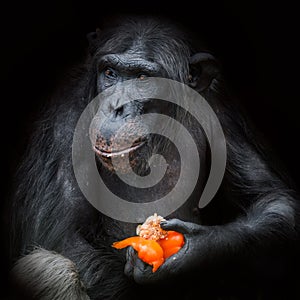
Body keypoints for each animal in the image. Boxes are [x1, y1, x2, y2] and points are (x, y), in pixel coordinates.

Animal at [6, 15, 300, 300]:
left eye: (142, 78)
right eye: (110, 73)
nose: (116, 106)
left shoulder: (220, 107)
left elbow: (273, 201)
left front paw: (193, 250)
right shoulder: (65, 118)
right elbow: (63, 238)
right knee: (51, 269)